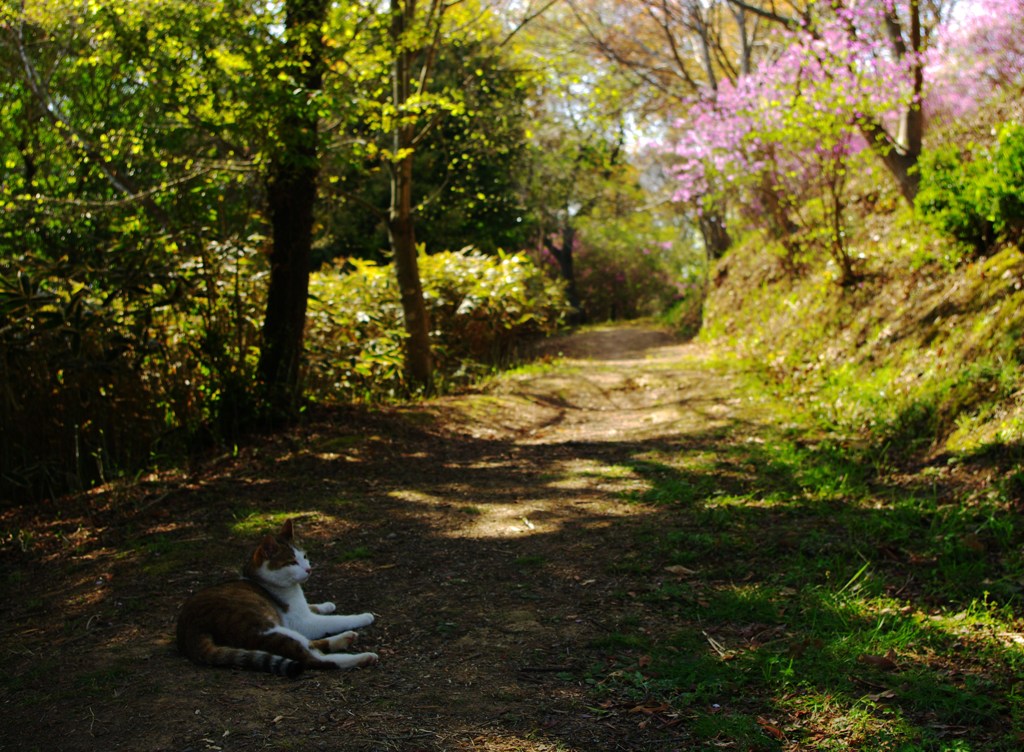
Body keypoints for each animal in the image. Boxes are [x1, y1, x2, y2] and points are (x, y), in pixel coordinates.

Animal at [174, 520, 378, 680]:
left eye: (304, 556)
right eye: (292, 562)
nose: (309, 569)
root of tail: (191, 630)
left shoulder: (300, 614)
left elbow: (314, 607)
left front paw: (327, 605)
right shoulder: (303, 621)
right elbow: (336, 620)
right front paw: (363, 616)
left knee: (311, 645)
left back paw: (345, 639)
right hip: (266, 629)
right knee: (312, 657)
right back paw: (362, 657)